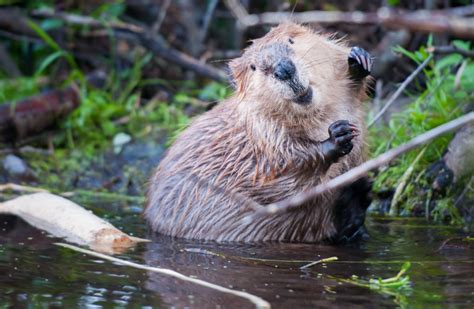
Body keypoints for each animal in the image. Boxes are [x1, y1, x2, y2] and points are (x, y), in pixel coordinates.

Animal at [144, 22, 374, 243]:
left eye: (291, 40)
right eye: (253, 67)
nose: (284, 69)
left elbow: (352, 90)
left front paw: (358, 60)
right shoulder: (262, 133)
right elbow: (283, 171)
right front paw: (337, 136)